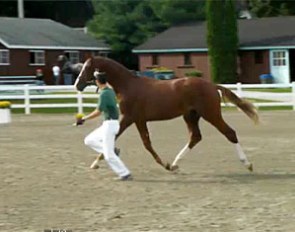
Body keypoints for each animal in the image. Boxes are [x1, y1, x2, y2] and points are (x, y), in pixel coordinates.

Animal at [74, 56, 260, 172]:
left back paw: (248, 164)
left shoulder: (128, 118)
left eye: (87, 68)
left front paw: (95, 163)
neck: (128, 85)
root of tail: (213, 85)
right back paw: (175, 164)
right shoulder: (139, 120)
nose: (77, 85)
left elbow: (122, 138)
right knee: (195, 137)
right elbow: (147, 143)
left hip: (210, 114)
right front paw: (165, 164)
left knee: (229, 133)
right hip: (191, 116)